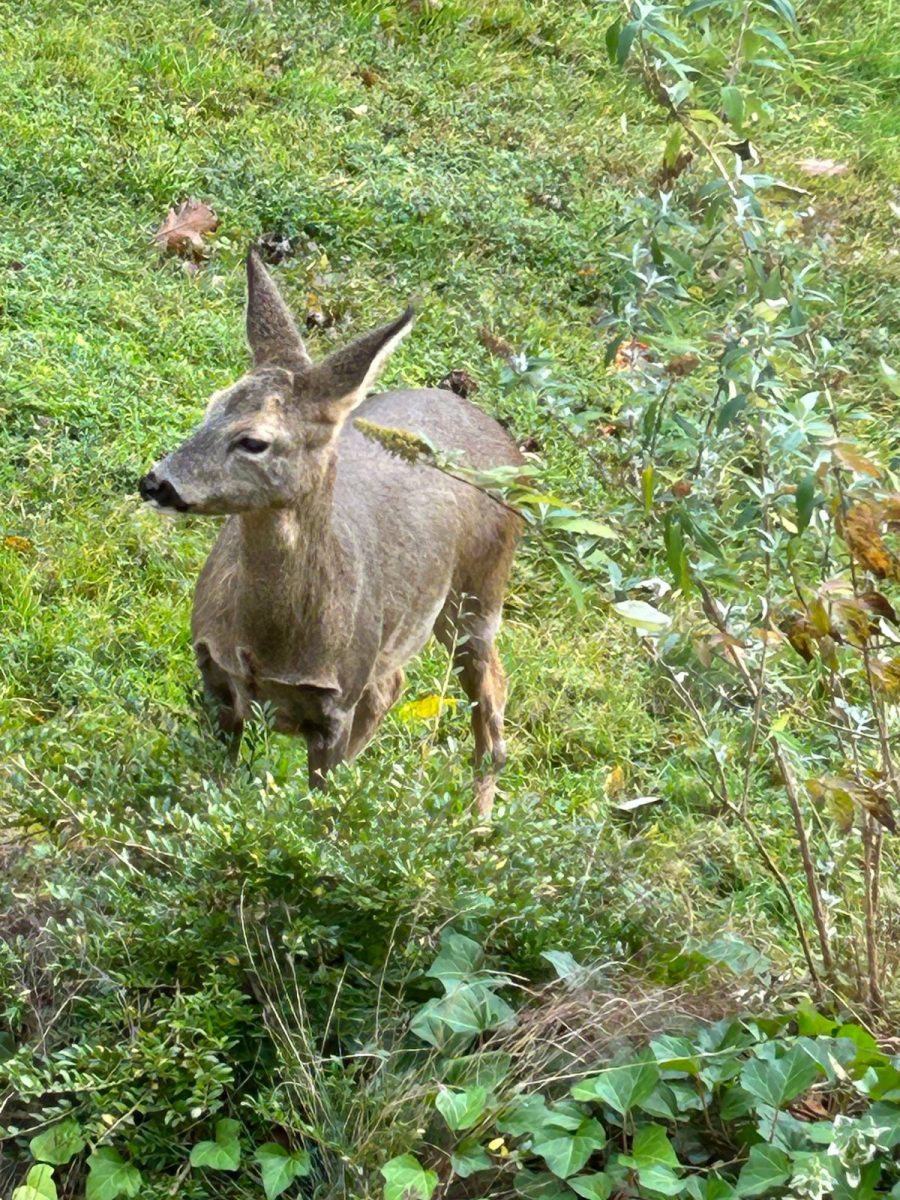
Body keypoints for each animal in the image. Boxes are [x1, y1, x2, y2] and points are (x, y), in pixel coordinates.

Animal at [139, 252, 520, 816]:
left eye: (254, 441)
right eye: (212, 404)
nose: (157, 481)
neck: (272, 644)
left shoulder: (335, 702)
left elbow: (320, 809)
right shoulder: (214, 669)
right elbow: (217, 782)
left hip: (481, 590)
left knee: (490, 692)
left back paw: (476, 823)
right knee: (396, 684)